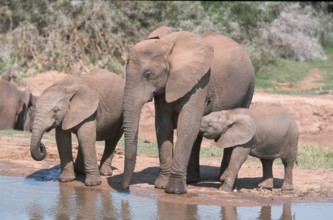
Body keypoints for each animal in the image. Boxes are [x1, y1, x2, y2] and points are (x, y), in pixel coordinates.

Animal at [122, 25, 254, 193]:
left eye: (148, 75)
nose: (125, 189)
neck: (167, 46)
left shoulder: (200, 82)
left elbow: (187, 125)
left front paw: (174, 190)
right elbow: (163, 125)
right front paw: (161, 185)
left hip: (249, 88)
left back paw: (222, 180)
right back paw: (192, 179)